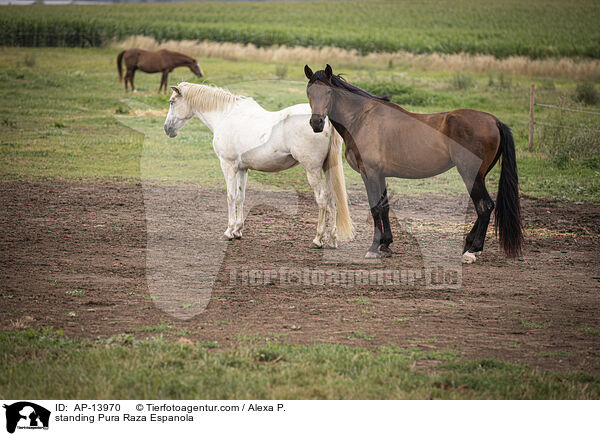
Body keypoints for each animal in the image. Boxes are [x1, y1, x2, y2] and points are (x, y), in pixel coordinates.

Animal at [162, 82, 354, 245]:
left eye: (172, 102)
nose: (167, 128)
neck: (226, 115)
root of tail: (323, 120)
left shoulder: (228, 166)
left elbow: (230, 196)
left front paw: (229, 231)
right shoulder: (242, 169)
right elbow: (240, 196)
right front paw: (237, 230)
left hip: (312, 170)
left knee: (322, 199)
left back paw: (318, 239)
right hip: (327, 168)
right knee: (333, 199)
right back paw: (332, 239)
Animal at [304, 64, 520, 262]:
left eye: (329, 91)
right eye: (309, 91)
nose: (316, 123)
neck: (362, 119)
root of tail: (494, 121)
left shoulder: (370, 173)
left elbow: (375, 208)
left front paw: (373, 248)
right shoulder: (380, 174)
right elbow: (384, 207)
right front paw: (386, 245)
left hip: (470, 175)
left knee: (485, 207)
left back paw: (472, 251)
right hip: (479, 176)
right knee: (485, 207)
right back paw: (468, 244)